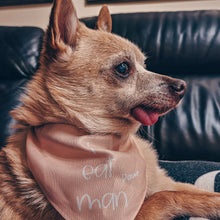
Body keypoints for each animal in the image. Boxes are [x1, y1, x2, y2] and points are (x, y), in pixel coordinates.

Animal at [0, 0, 220, 219]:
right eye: (123, 68)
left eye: (144, 65)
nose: (182, 86)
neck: (112, 142)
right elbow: (166, 196)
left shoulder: (166, 181)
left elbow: (194, 190)